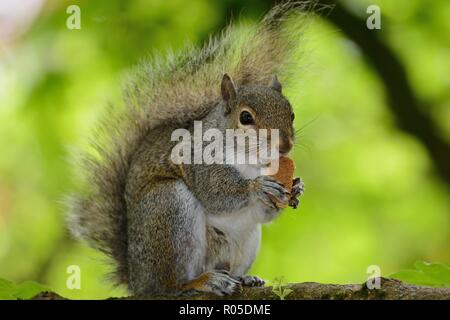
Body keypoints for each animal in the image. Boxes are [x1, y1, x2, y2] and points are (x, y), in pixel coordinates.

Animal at [67, 1, 310, 296]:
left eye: (291, 114)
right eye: (245, 118)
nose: (285, 145)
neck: (250, 162)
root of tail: (138, 282)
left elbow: (264, 214)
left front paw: (296, 187)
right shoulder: (197, 158)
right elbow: (215, 191)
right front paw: (257, 187)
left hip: (245, 242)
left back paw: (243, 279)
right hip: (169, 209)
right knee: (170, 285)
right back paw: (201, 282)